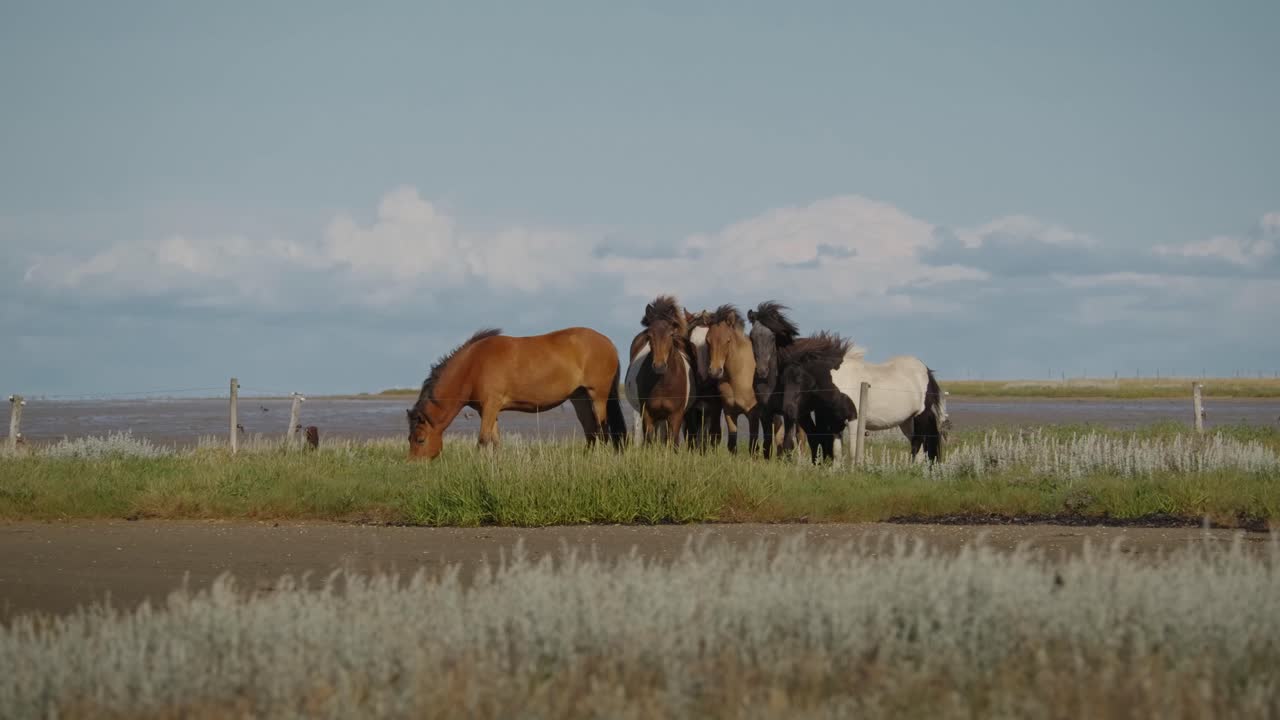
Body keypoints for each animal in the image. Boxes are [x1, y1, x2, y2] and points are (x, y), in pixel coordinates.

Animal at [406, 327, 627, 459]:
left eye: (420, 439)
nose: (413, 465)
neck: (472, 365)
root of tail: (609, 343)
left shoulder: (491, 405)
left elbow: (483, 439)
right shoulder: (487, 410)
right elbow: (495, 440)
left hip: (598, 396)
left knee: (602, 429)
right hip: (579, 397)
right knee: (590, 431)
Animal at [625, 296, 694, 446]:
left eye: (671, 334)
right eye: (649, 335)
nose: (659, 366)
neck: (663, 383)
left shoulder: (676, 415)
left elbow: (673, 441)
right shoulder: (648, 414)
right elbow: (650, 441)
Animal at [703, 304, 757, 453]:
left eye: (727, 340)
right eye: (708, 340)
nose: (715, 371)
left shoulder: (753, 414)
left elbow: (753, 445)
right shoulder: (729, 412)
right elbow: (732, 444)